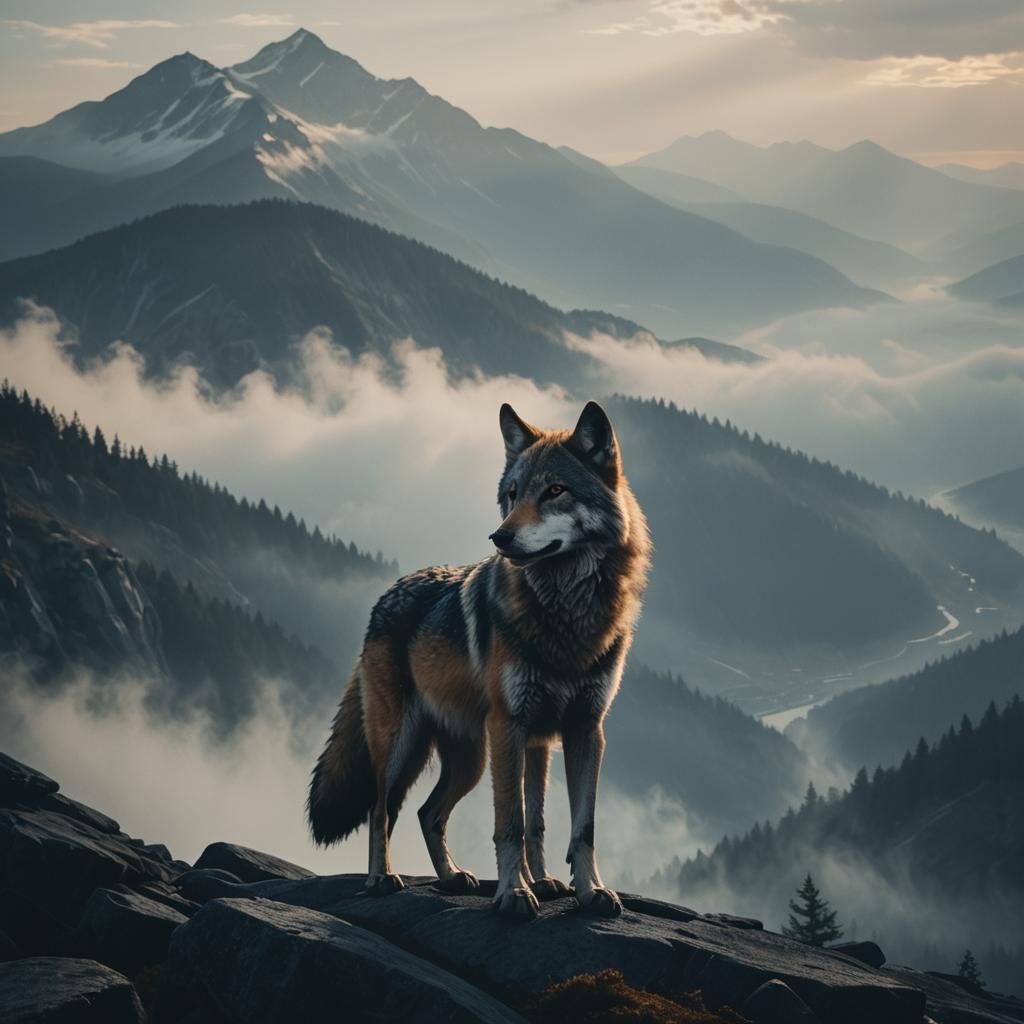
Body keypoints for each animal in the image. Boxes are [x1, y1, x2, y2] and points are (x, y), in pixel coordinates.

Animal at [307, 401, 650, 920]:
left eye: (554, 491)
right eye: (512, 494)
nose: (499, 538)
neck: (565, 614)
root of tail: (385, 596)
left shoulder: (579, 731)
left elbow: (568, 826)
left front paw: (586, 890)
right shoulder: (510, 726)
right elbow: (510, 824)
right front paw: (514, 894)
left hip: (472, 759)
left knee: (428, 812)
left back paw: (455, 877)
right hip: (404, 746)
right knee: (380, 808)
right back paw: (381, 878)